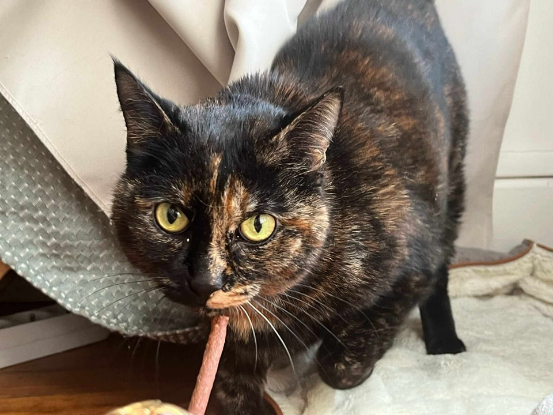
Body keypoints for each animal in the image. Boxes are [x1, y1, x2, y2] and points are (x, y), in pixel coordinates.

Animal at [111, 0, 467, 413]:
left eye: (258, 225)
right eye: (171, 217)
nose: (205, 282)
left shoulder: (413, 266)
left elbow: (341, 365)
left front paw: (323, 346)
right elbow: (230, 386)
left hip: (453, 178)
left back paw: (446, 342)